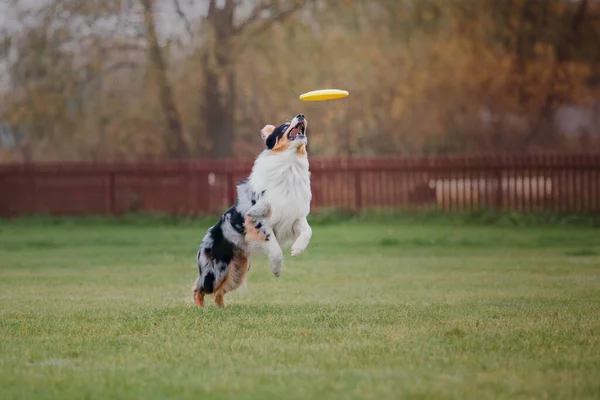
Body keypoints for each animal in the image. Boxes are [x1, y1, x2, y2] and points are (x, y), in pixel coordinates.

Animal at [192, 114, 314, 308]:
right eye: (284, 126)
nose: (301, 115)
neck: (290, 164)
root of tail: (205, 237)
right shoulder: (257, 219)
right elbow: (275, 247)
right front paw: (277, 270)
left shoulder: (294, 217)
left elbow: (308, 231)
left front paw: (297, 249)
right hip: (216, 271)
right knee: (199, 288)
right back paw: (201, 309)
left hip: (238, 271)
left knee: (219, 292)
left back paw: (221, 309)